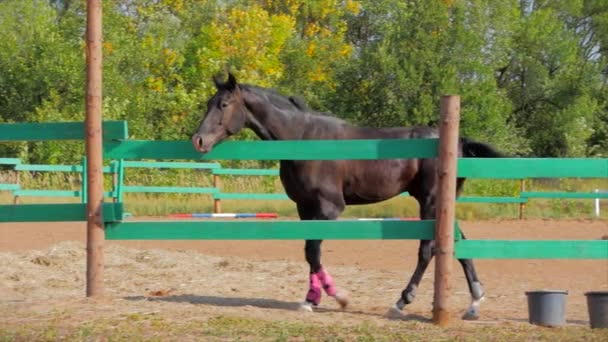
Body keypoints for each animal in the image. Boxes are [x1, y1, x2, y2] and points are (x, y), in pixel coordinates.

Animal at [192, 73, 502, 320]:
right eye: (209, 103)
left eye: (223, 104)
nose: (198, 140)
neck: (304, 139)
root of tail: (457, 142)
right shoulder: (305, 208)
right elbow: (309, 252)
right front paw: (310, 300)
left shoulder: (329, 208)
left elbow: (313, 251)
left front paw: (338, 296)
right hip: (441, 206)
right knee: (458, 242)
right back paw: (474, 302)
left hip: (429, 202)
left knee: (427, 250)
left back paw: (401, 302)